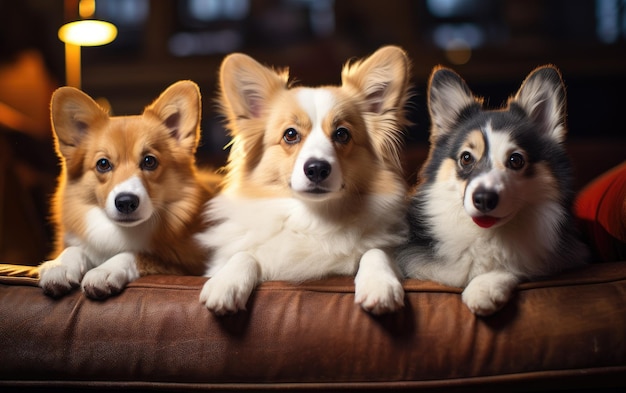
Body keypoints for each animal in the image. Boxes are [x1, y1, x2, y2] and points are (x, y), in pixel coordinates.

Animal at [39, 81, 219, 298]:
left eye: (149, 161)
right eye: (103, 164)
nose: (126, 202)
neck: (121, 231)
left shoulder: (187, 264)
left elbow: (136, 254)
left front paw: (104, 270)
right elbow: (75, 249)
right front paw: (59, 266)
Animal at [199, 45, 410, 316]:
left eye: (342, 134)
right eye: (290, 134)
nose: (317, 169)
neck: (313, 218)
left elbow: (375, 252)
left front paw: (380, 284)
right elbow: (244, 255)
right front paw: (225, 282)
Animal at [394, 64, 584, 316]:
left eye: (516, 160)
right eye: (466, 158)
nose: (483, 199)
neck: (485, 236)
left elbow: (518, 265)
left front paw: (483, 288)